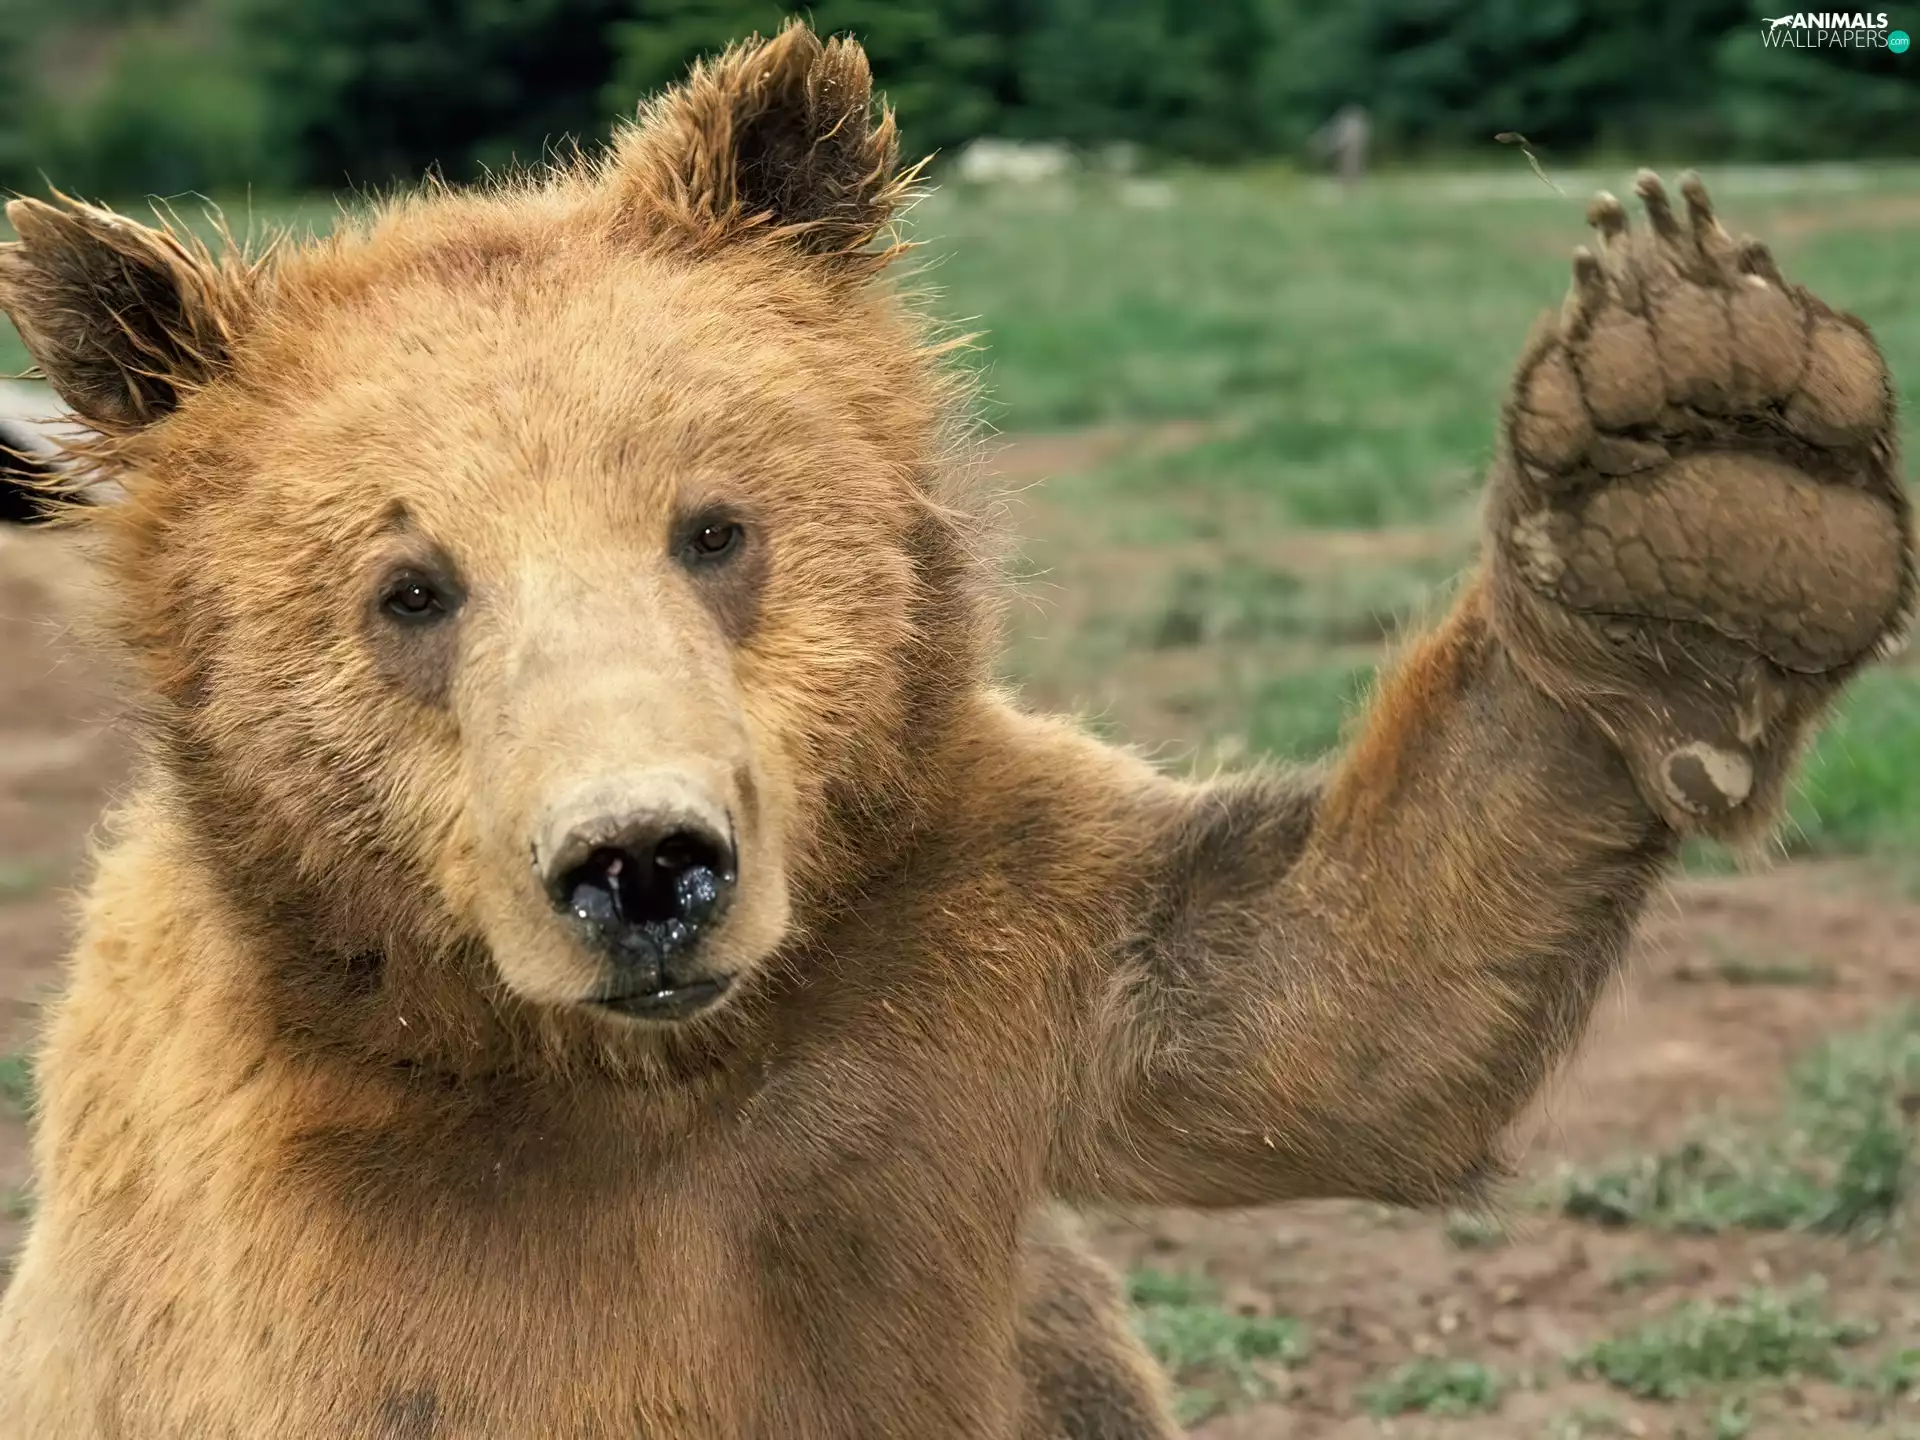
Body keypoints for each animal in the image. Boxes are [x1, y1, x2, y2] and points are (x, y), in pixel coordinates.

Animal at [0, 19, 1910, 1439]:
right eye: (410, 587)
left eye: (715, 526)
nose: (644, 866)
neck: (621, 1080)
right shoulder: (317, 1245)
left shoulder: (947, 968)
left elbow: (1327, 1006)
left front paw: (1703, 477)